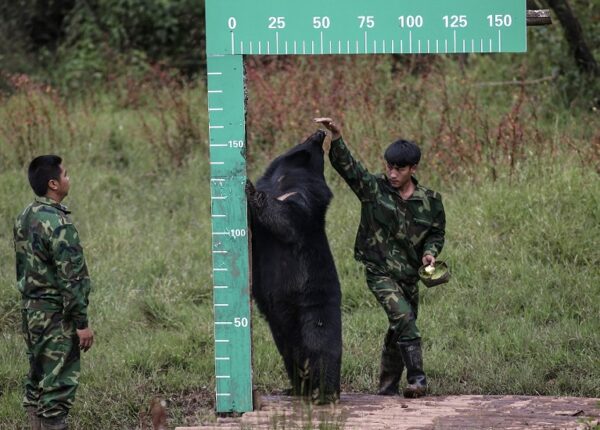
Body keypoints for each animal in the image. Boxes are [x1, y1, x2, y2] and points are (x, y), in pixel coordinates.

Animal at [246, 130, 342, 404]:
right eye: (313, 140)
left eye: (319, 146)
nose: (321, 132)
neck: (282, 179)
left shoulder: (303, 199)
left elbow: (287, 218)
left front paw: (250, 189)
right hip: (281, 329)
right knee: (292, 358)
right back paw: (296, 390)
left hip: (315, 312)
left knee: (322, 352)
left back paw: (325, 394)